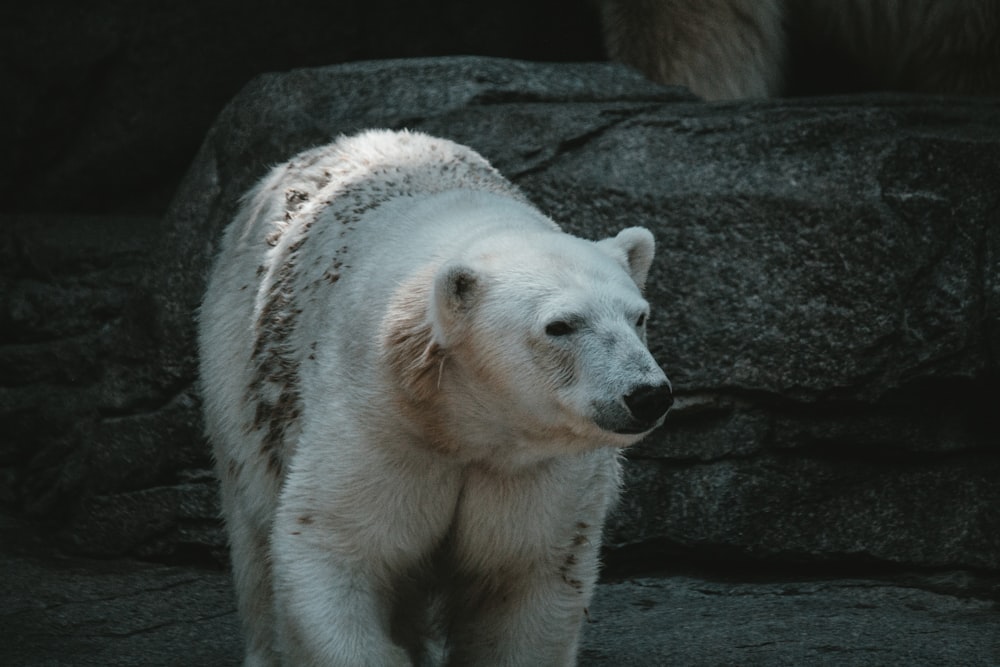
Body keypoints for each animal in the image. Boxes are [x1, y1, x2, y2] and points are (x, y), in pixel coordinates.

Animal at [197, 128, 672, 664]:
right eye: (560, 326)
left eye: (639, 316)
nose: (648, 395)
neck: (462, 417)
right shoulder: (379, 422)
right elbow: (335, 544)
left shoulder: (534, 470)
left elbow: (525, 575)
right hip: (232, 359)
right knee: (251, 526)